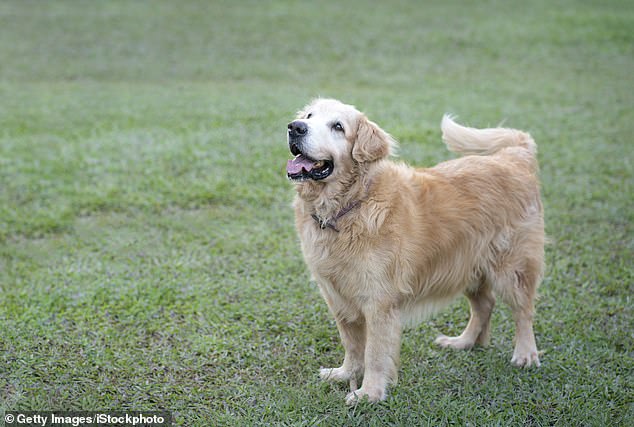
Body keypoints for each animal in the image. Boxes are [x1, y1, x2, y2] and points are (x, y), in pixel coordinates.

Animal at [286, 98, 544, 404]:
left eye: (338, 126)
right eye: (309, 116)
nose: (295, 127)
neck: (350, 205)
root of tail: (513, 156)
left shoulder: (378, 301)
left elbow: (374, 353)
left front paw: (369, 393)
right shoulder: (337, 296)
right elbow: (352, 345)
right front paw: (345, 374)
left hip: (511, 267)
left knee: (523, 311)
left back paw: (525, 354)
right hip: (467, 264)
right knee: (485, 305)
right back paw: (464, 342)